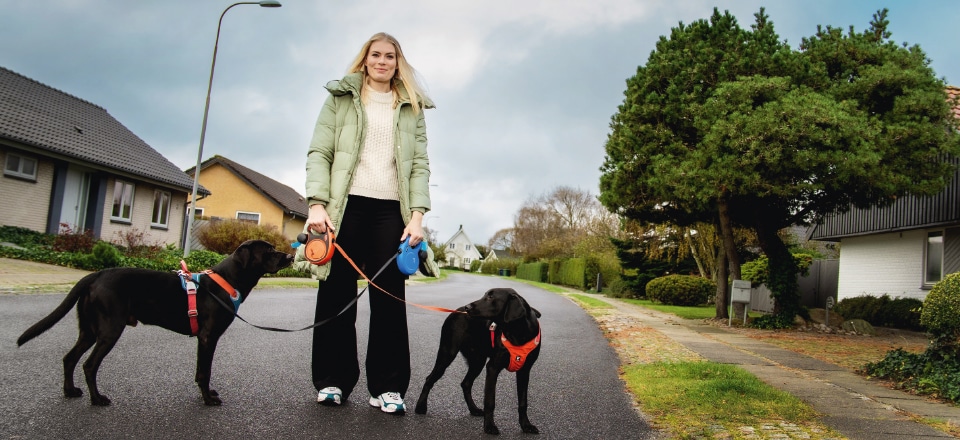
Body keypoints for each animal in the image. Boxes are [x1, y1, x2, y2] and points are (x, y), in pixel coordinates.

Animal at [15, 241, 292, 406]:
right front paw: (208, 399)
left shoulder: (203, 340)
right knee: (89, 364)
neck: (227, 281)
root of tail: (96, 275)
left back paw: (70, 391)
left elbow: (199, 371)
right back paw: (97, 399)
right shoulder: (208, 337)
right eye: (268, 251)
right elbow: (205, 371)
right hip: (109, 330)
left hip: (89, 330)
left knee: (69, 358)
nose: (290, 256)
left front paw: (207, 394)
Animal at [418, 288, 544, 434]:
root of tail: (455, 311)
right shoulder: (492, 368)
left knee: (466, 383)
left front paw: (526, 425)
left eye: (491, 297)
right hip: (447, 354)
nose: (467, 307)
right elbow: (490, 401)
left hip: (477, 361)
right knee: (429, 378)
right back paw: (420, 406)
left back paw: (473, 409)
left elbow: (523, 402)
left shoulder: (525, 371)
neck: (517, 333)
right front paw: (489, 426)